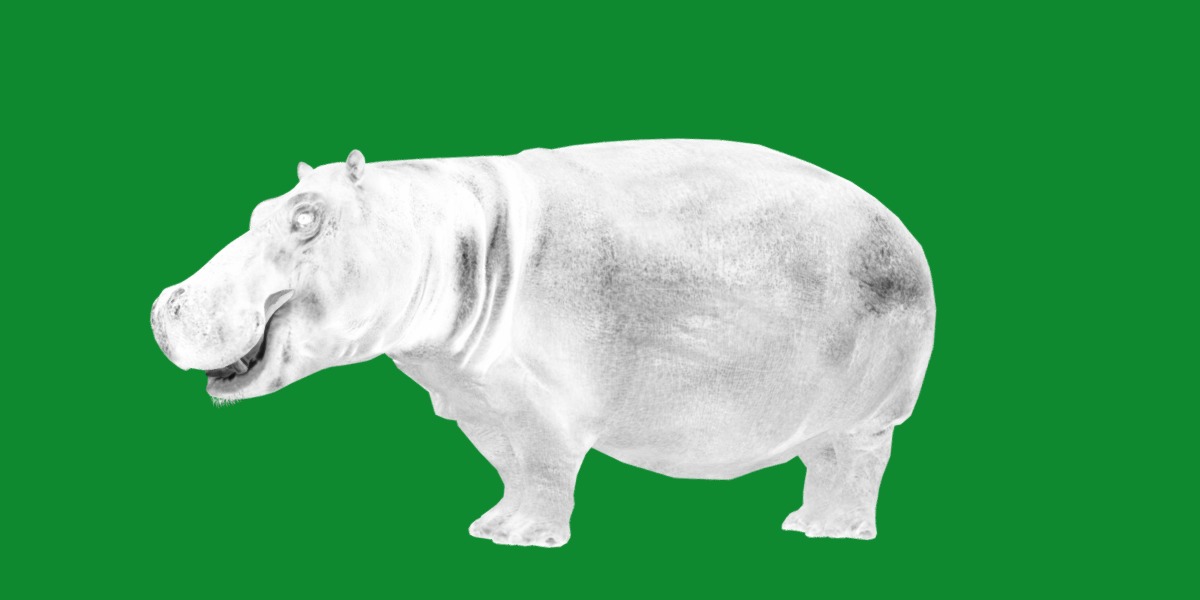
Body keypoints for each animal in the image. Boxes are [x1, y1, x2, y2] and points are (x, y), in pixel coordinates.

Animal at [151, 140, 935, 547]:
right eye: (261, 208)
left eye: (306, 218)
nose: (167, 303)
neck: (434, 226)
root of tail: (903, 230)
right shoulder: (480, 403)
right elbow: (513, 470)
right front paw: (492, 526)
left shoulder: (542, 406)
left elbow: (548, 470)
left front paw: (525, 539)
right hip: (822, 420)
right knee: (823, 462)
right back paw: (807, 524)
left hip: (872, 415)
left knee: (860, 465)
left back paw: (835, 532)